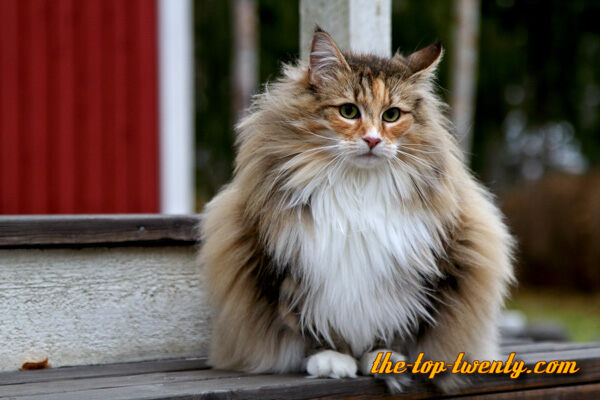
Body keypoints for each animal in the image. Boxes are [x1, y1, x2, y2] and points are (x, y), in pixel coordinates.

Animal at [198, 28, 516, 394]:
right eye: (349, 111)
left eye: (391, 115)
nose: (373, 141)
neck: (357, 189)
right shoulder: (289, 267)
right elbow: (310, 324)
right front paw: (332, 359)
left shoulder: (418, 272)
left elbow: (395, 326)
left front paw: (383, 357)